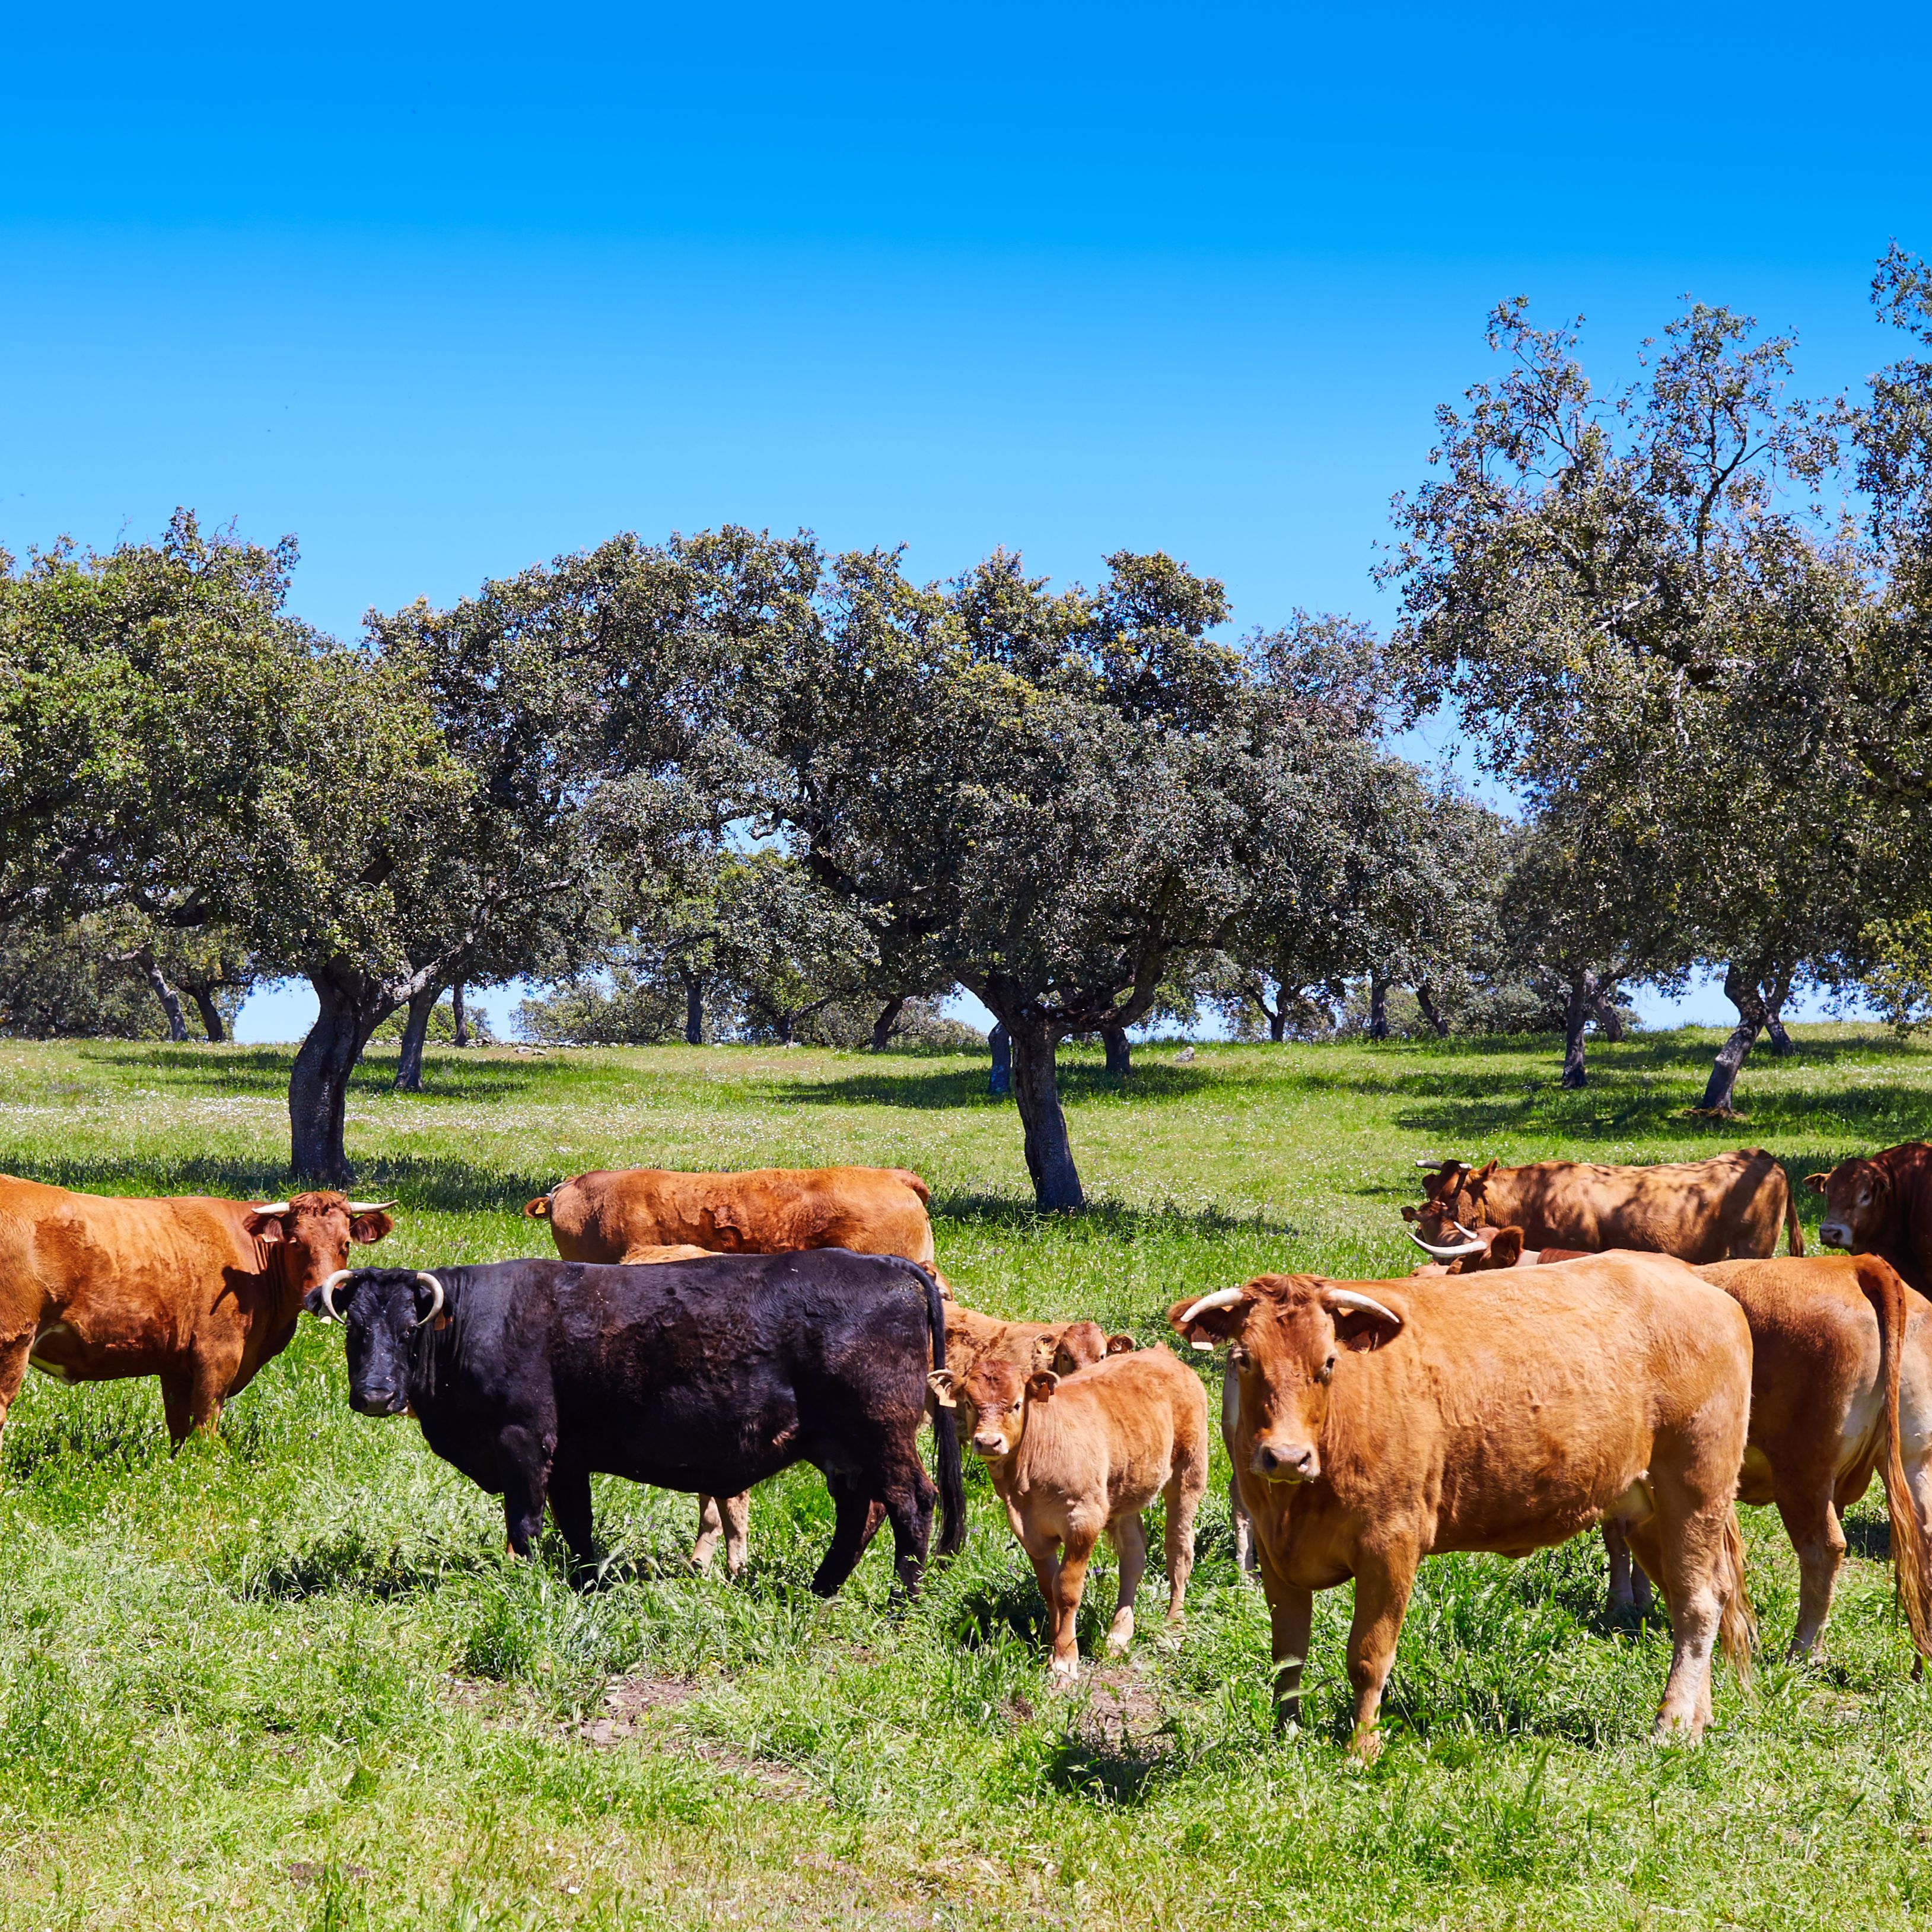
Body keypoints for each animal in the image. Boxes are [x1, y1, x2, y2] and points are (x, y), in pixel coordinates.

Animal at [0, 1176, 394, 1446]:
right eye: (296, 1242)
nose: (328, 1295)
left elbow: (179, 1423)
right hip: (13, 1343)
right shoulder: (218, 1354)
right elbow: (206, 1421)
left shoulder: (175, 1363)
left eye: (345, 1243)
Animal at [309, 1251, 965, 1596]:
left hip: (881, 1432)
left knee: (912, 1501)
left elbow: (525, 1523)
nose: (375, 1393)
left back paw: (902, 1598)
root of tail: (886, 1264)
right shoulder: (568, 1458)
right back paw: (819, 1588)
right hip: (842, 1447)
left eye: (407, 1328)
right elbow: (577, 1526)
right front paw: (586, 1585)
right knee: (861, 1510)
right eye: (354, 1328)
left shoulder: (524, 1441)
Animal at [931, 1345, 1208, 1676]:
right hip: (1125, 1490)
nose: (988, 1442)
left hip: (1189, 1472)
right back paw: (1118, 1635)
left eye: (1017, 1404)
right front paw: (1054, 1645)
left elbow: (1066, 1589)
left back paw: (1173, 1625)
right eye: (970, 1403)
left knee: (1179, 1550)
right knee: (1133, 1557)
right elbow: (1048, 1587)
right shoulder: (1029, 1530)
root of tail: (1162, 1354)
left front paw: (1065, 1659)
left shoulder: (1083, 1521)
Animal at [1171, 1257, 1755, 1756]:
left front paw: (1361, 1749)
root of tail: (1688, 1277)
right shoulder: (1274, 1553)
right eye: (1244, 1359)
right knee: (1693, 1597)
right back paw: (1696, 1718)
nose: (1287, 1456)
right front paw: (1285, 1736)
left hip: (1694, 1485)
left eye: (1328, 1362)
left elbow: (1368, 1657)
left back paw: (1670, 1722)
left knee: (1698, 1605)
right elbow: (1287, 1655)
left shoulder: (1390, 1543)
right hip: (1647, 1510)